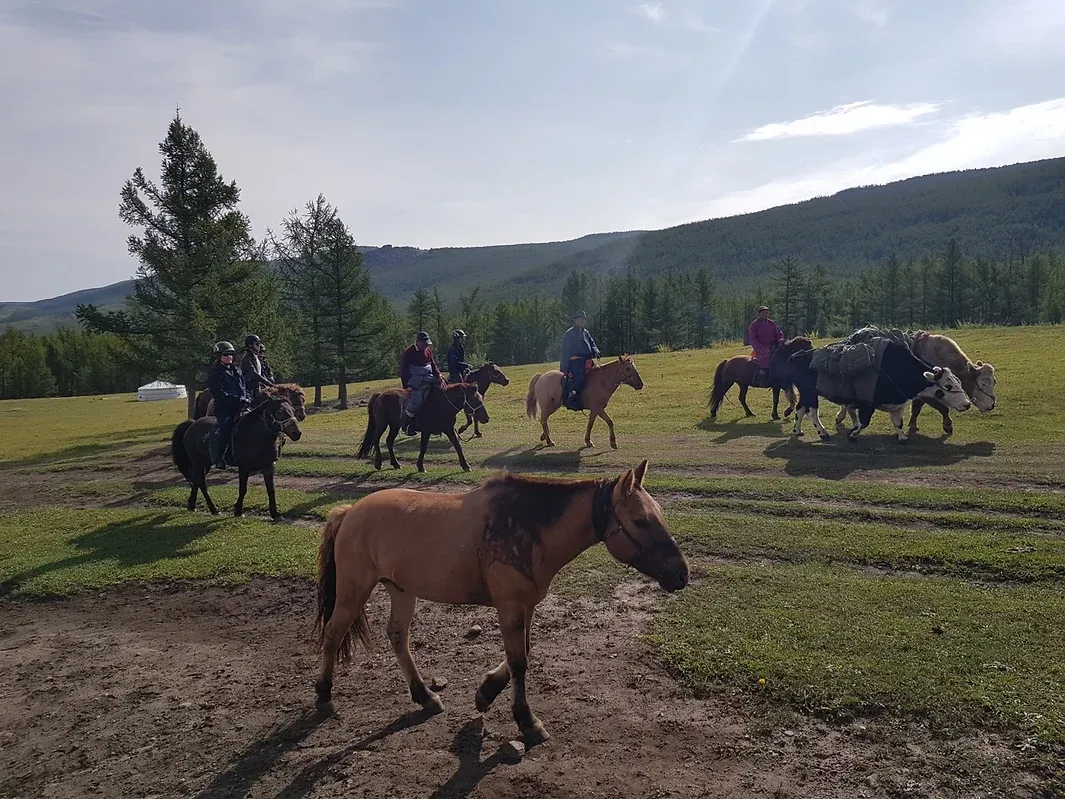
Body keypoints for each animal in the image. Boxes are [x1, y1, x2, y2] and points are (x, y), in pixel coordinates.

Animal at [170, 395, 303, 519]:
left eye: (292, 410)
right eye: (279, 412)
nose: (297, 433)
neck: (255, 434)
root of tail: (192, 424)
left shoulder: (268, 467)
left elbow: (271, 490)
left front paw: (275, 514)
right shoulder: (244, 467)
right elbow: (243, 489)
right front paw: (238, 511)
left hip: (205, 464)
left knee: (197, 481)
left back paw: (192, 505)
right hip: (198, 462)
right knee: (202, 483)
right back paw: (213, 509)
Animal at [311, 459, 689, 745]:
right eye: (640, 520)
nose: (681, 574)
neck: (526, 525)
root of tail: (349, 511)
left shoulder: (526, 606)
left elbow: (522, 653)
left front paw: (486, 691)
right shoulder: (508, 606)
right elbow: (519, 661)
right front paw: (527, 721)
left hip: (401, 590)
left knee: (397, 637)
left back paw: (424, 695)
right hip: (354, 591)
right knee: (333, 634)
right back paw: (324, 695)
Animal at [355, 381, 489, 472]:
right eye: (475, 400)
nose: (486, 418)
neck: (441, 404)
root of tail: (380, 395)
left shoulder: (449, 429)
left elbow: (457, 446)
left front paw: (465, 465)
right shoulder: (426, 431)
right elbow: (423, 447)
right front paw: (420, 466)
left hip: (394, 426)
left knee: (389, 441)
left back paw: (396, 463)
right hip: (382, 424)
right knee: (376, 439)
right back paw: (378, 463)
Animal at [833, 332, 997, 436]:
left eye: (994, 382)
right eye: (983, 383)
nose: (992, 405)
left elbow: (916, 409)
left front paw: (912, 425)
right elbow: (941, 408)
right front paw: (947, 425)